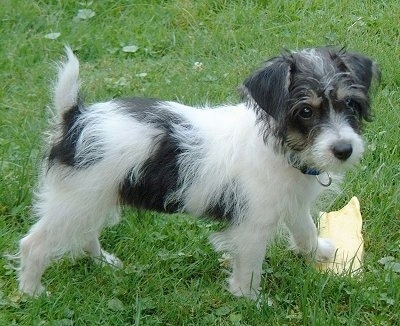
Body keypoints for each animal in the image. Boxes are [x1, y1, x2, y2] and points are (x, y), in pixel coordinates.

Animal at [17, 45, 378, 298]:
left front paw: (321, 252)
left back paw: (102, 261)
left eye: (349, 104)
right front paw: (251, 301)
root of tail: (75, 118)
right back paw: (32, 292)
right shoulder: (251, 226)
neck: (282, 147)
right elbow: (250, 267)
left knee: (85, 232)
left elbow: (305, 232)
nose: (344, 150)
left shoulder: (290, 203)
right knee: (33, 244)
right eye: (305, 111)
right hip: (76, 200)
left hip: (92, 198)